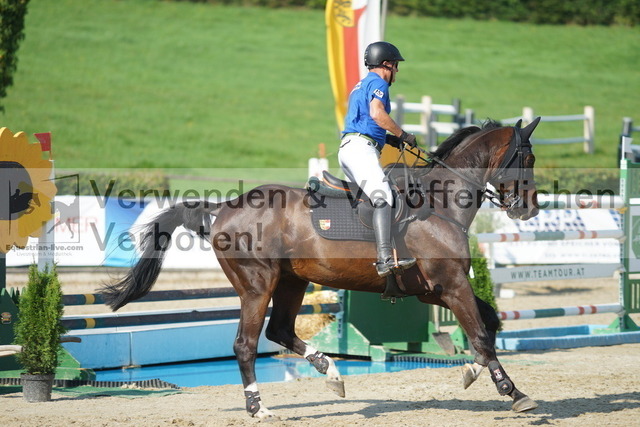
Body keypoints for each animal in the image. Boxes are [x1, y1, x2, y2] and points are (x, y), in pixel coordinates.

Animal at [100, 118, 540, 420]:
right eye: (529, 159)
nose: (530, 210)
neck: (440, 203)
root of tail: (223, 208)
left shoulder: (434, 290)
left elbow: (489, 323)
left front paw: (471, 371)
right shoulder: (450, 285)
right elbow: (481, 334)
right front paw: (513, 393)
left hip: (291, 282)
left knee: (280, 331)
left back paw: (331, 373)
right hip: (257, 286)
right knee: (246, 344)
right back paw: (259, 407)